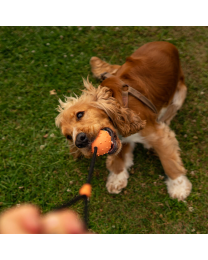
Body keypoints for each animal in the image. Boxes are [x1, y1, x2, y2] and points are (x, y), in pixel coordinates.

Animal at [54, 41, 192, 201]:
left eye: (80, 114)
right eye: (68, 136)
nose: (79, 141)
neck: (119, 101)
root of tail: (166, 43)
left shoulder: (156, 134)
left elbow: (168, 161)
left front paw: (178, 186)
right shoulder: (122, 138)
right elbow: (118, 155)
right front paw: (117, 178)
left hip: (179, 94)